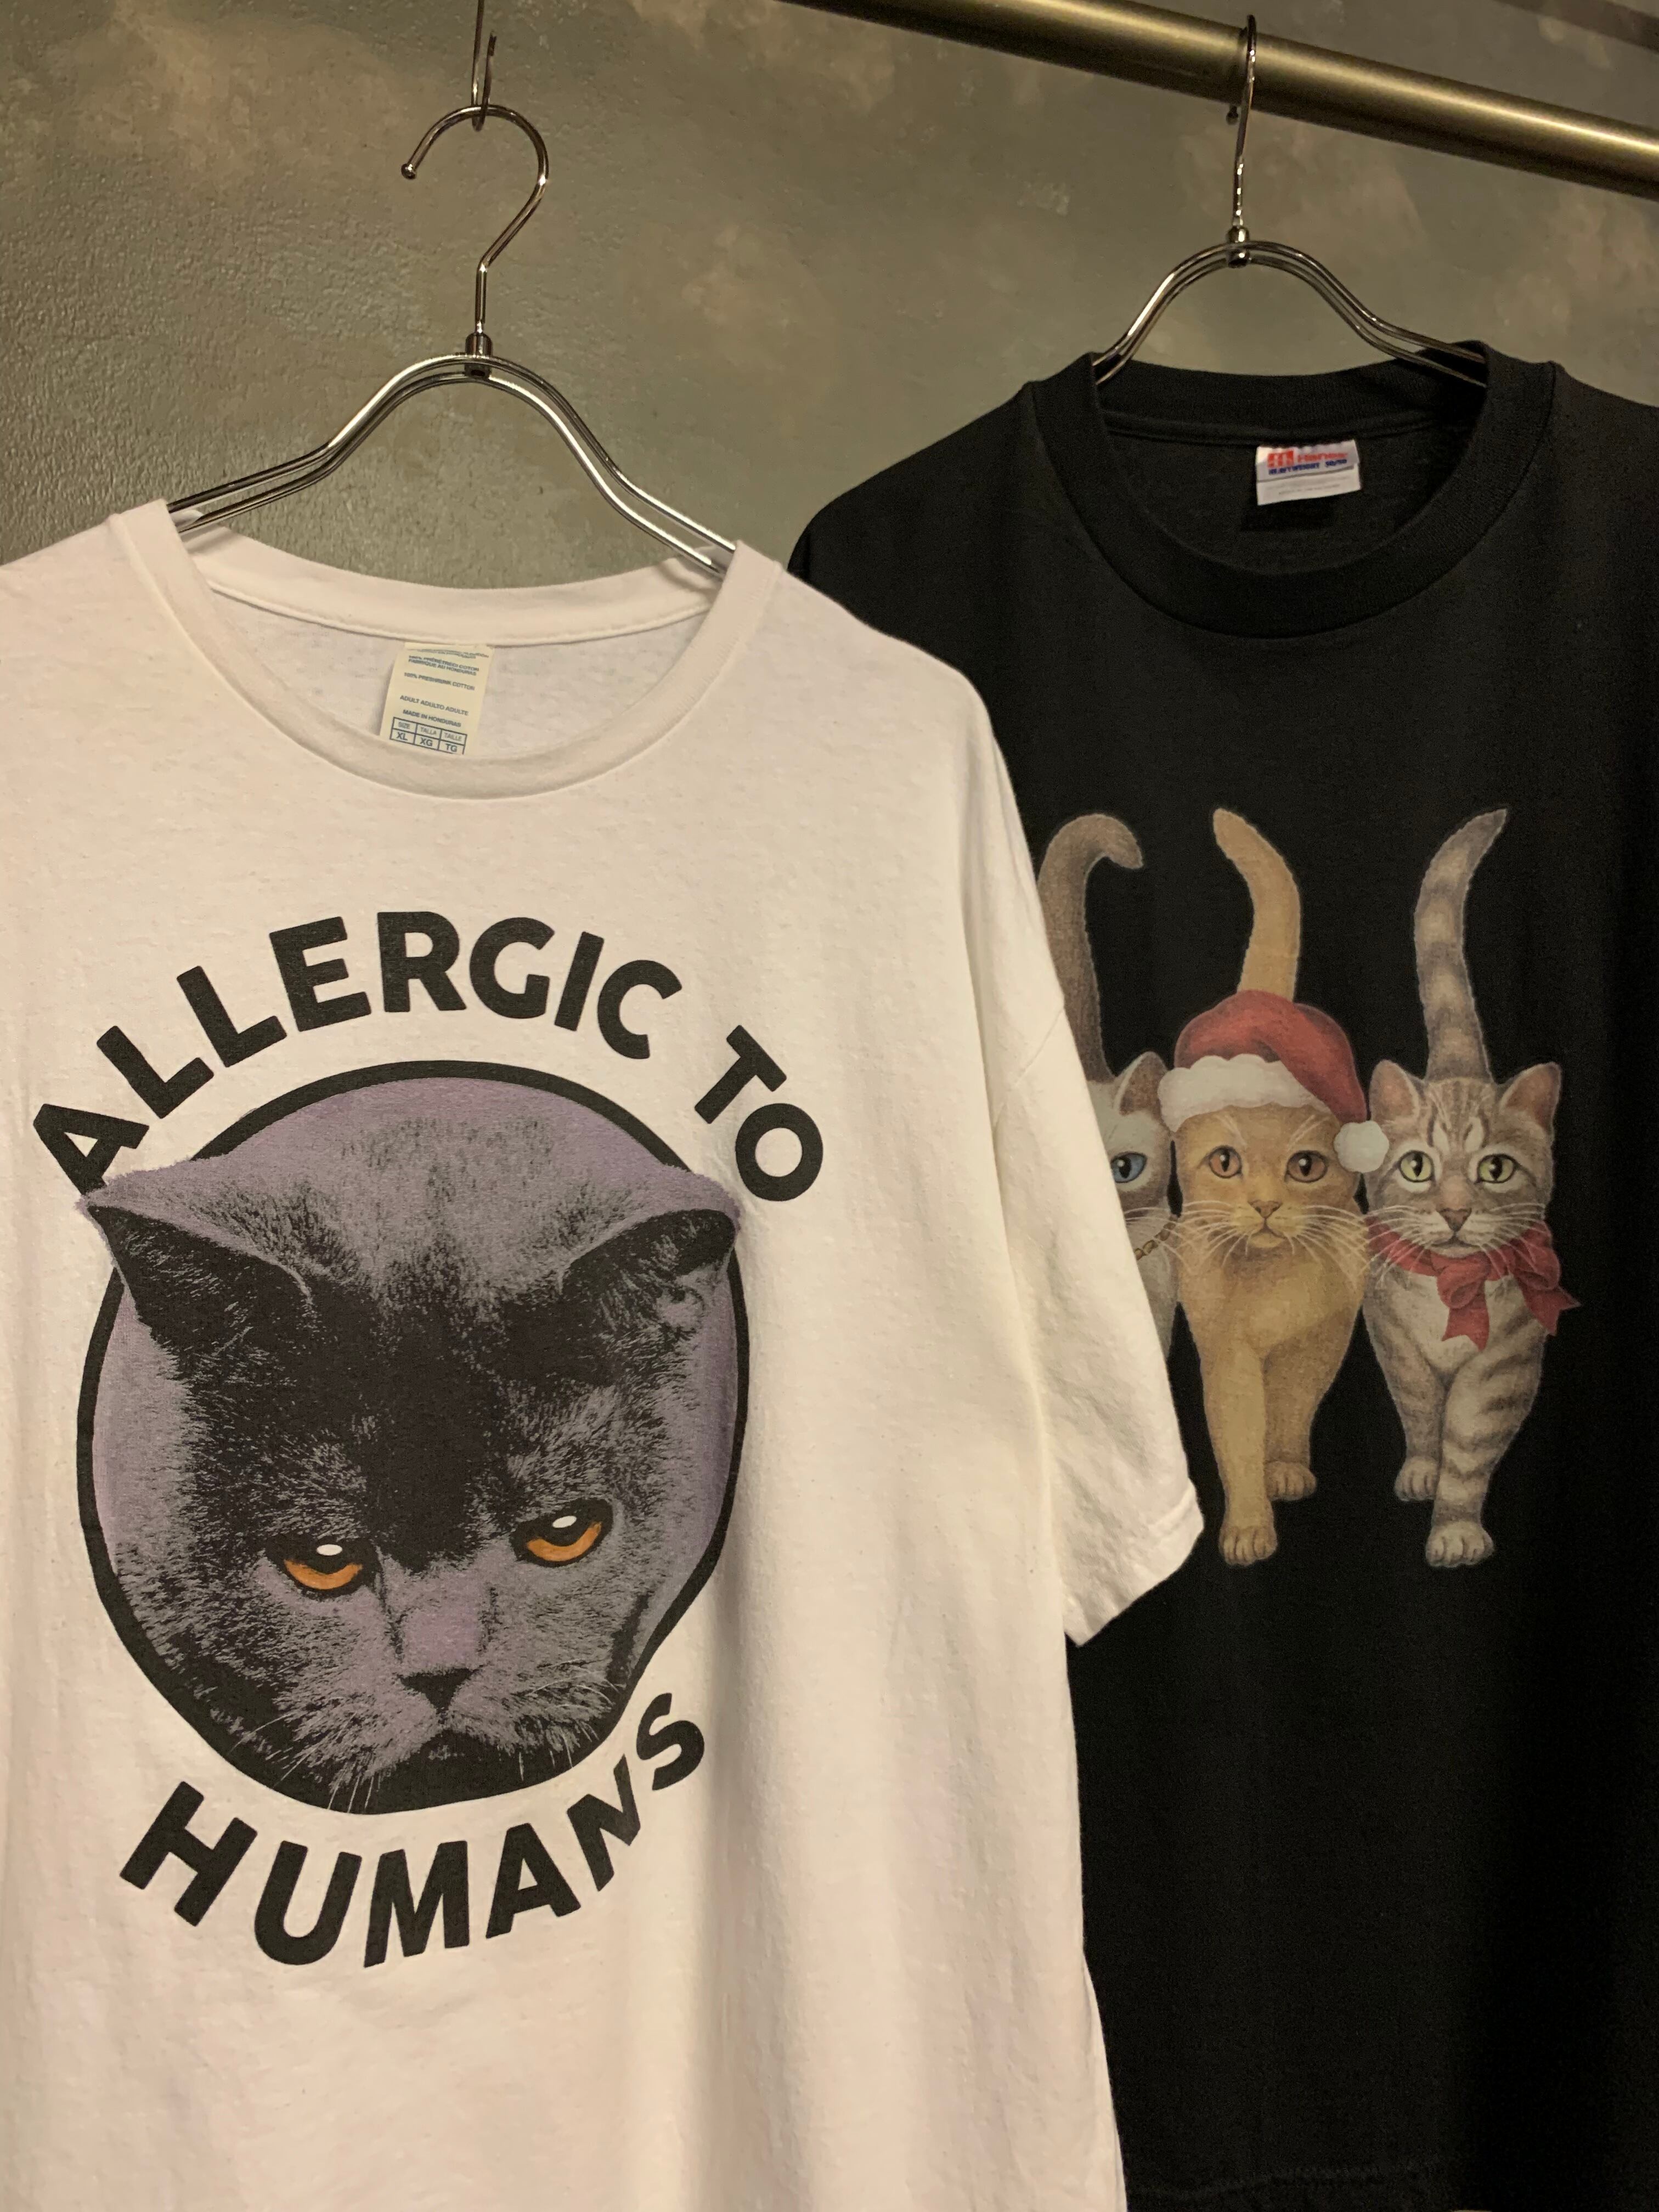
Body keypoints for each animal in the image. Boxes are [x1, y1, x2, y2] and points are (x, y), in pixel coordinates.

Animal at [1161, 812, 1370, 1566]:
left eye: (1305, 1168)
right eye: (1226, 1162)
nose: (1265, 1206)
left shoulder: (1325, 1339)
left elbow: (1292, 1410)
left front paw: (1285, 1468)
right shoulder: (1227, 1355)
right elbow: (1238, 1440)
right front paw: (1249, 1526)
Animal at [1363, 811, 1576, 1568]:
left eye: (1495, 1170)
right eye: (1418, 1167)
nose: (1455, 1212)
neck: (1449, 1293)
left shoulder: (1506, 1361)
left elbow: (1469, 1440)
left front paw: (1455, 1525)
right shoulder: (1391, 1336)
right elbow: (1423, 1411)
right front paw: (1423, 1471)